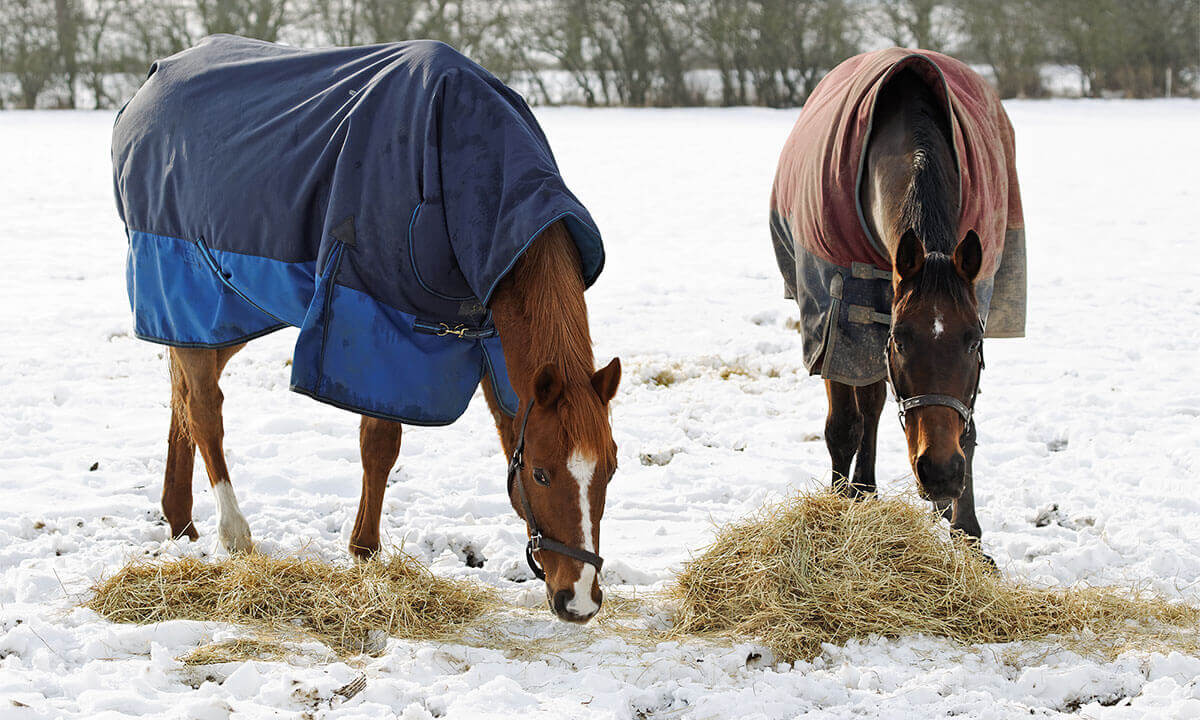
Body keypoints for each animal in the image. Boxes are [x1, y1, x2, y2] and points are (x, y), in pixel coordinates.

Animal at [114, 36, 620, 623]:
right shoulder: (379, 326)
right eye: (541, 473)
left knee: (183, 397)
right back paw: (233, 533)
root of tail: (150, 82)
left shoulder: (495, 340)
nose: (579, 599)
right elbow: (380, 444)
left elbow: (502, 425)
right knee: (203, 408)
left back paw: (180, 522)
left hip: (225, 311)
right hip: (187, 288)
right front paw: (364, 551)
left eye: (610, 468)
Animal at [770, 49, 1026, 547]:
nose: (941, 473)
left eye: (973, 341)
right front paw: (838, 508)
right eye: (903, 340)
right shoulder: (835, 317)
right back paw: (860, 489)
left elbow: (966, 429)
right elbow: (843, 425)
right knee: (862, 408)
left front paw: (967, 532)